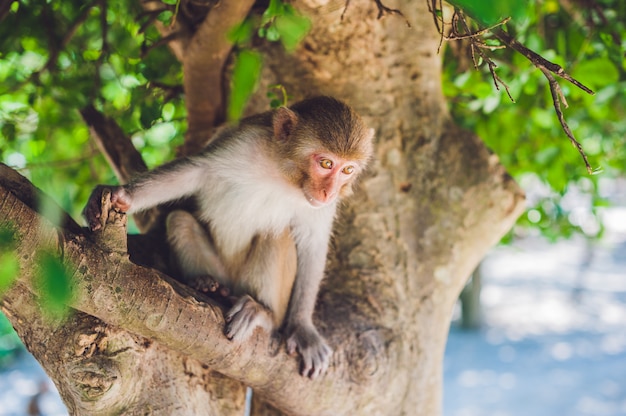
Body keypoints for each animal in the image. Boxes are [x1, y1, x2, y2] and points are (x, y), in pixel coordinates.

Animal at [84, 96, 372, 378]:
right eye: (326, 163)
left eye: (347, 170)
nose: (329, 193)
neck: (285, 174)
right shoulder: (245, 141)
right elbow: (196, 170)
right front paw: (121, 194)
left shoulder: (318, 207)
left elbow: (312, 244)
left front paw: (302, 327)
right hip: (221, 269)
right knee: (179, 220)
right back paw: (206, 284)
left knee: (276, 235)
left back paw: (264, 312)